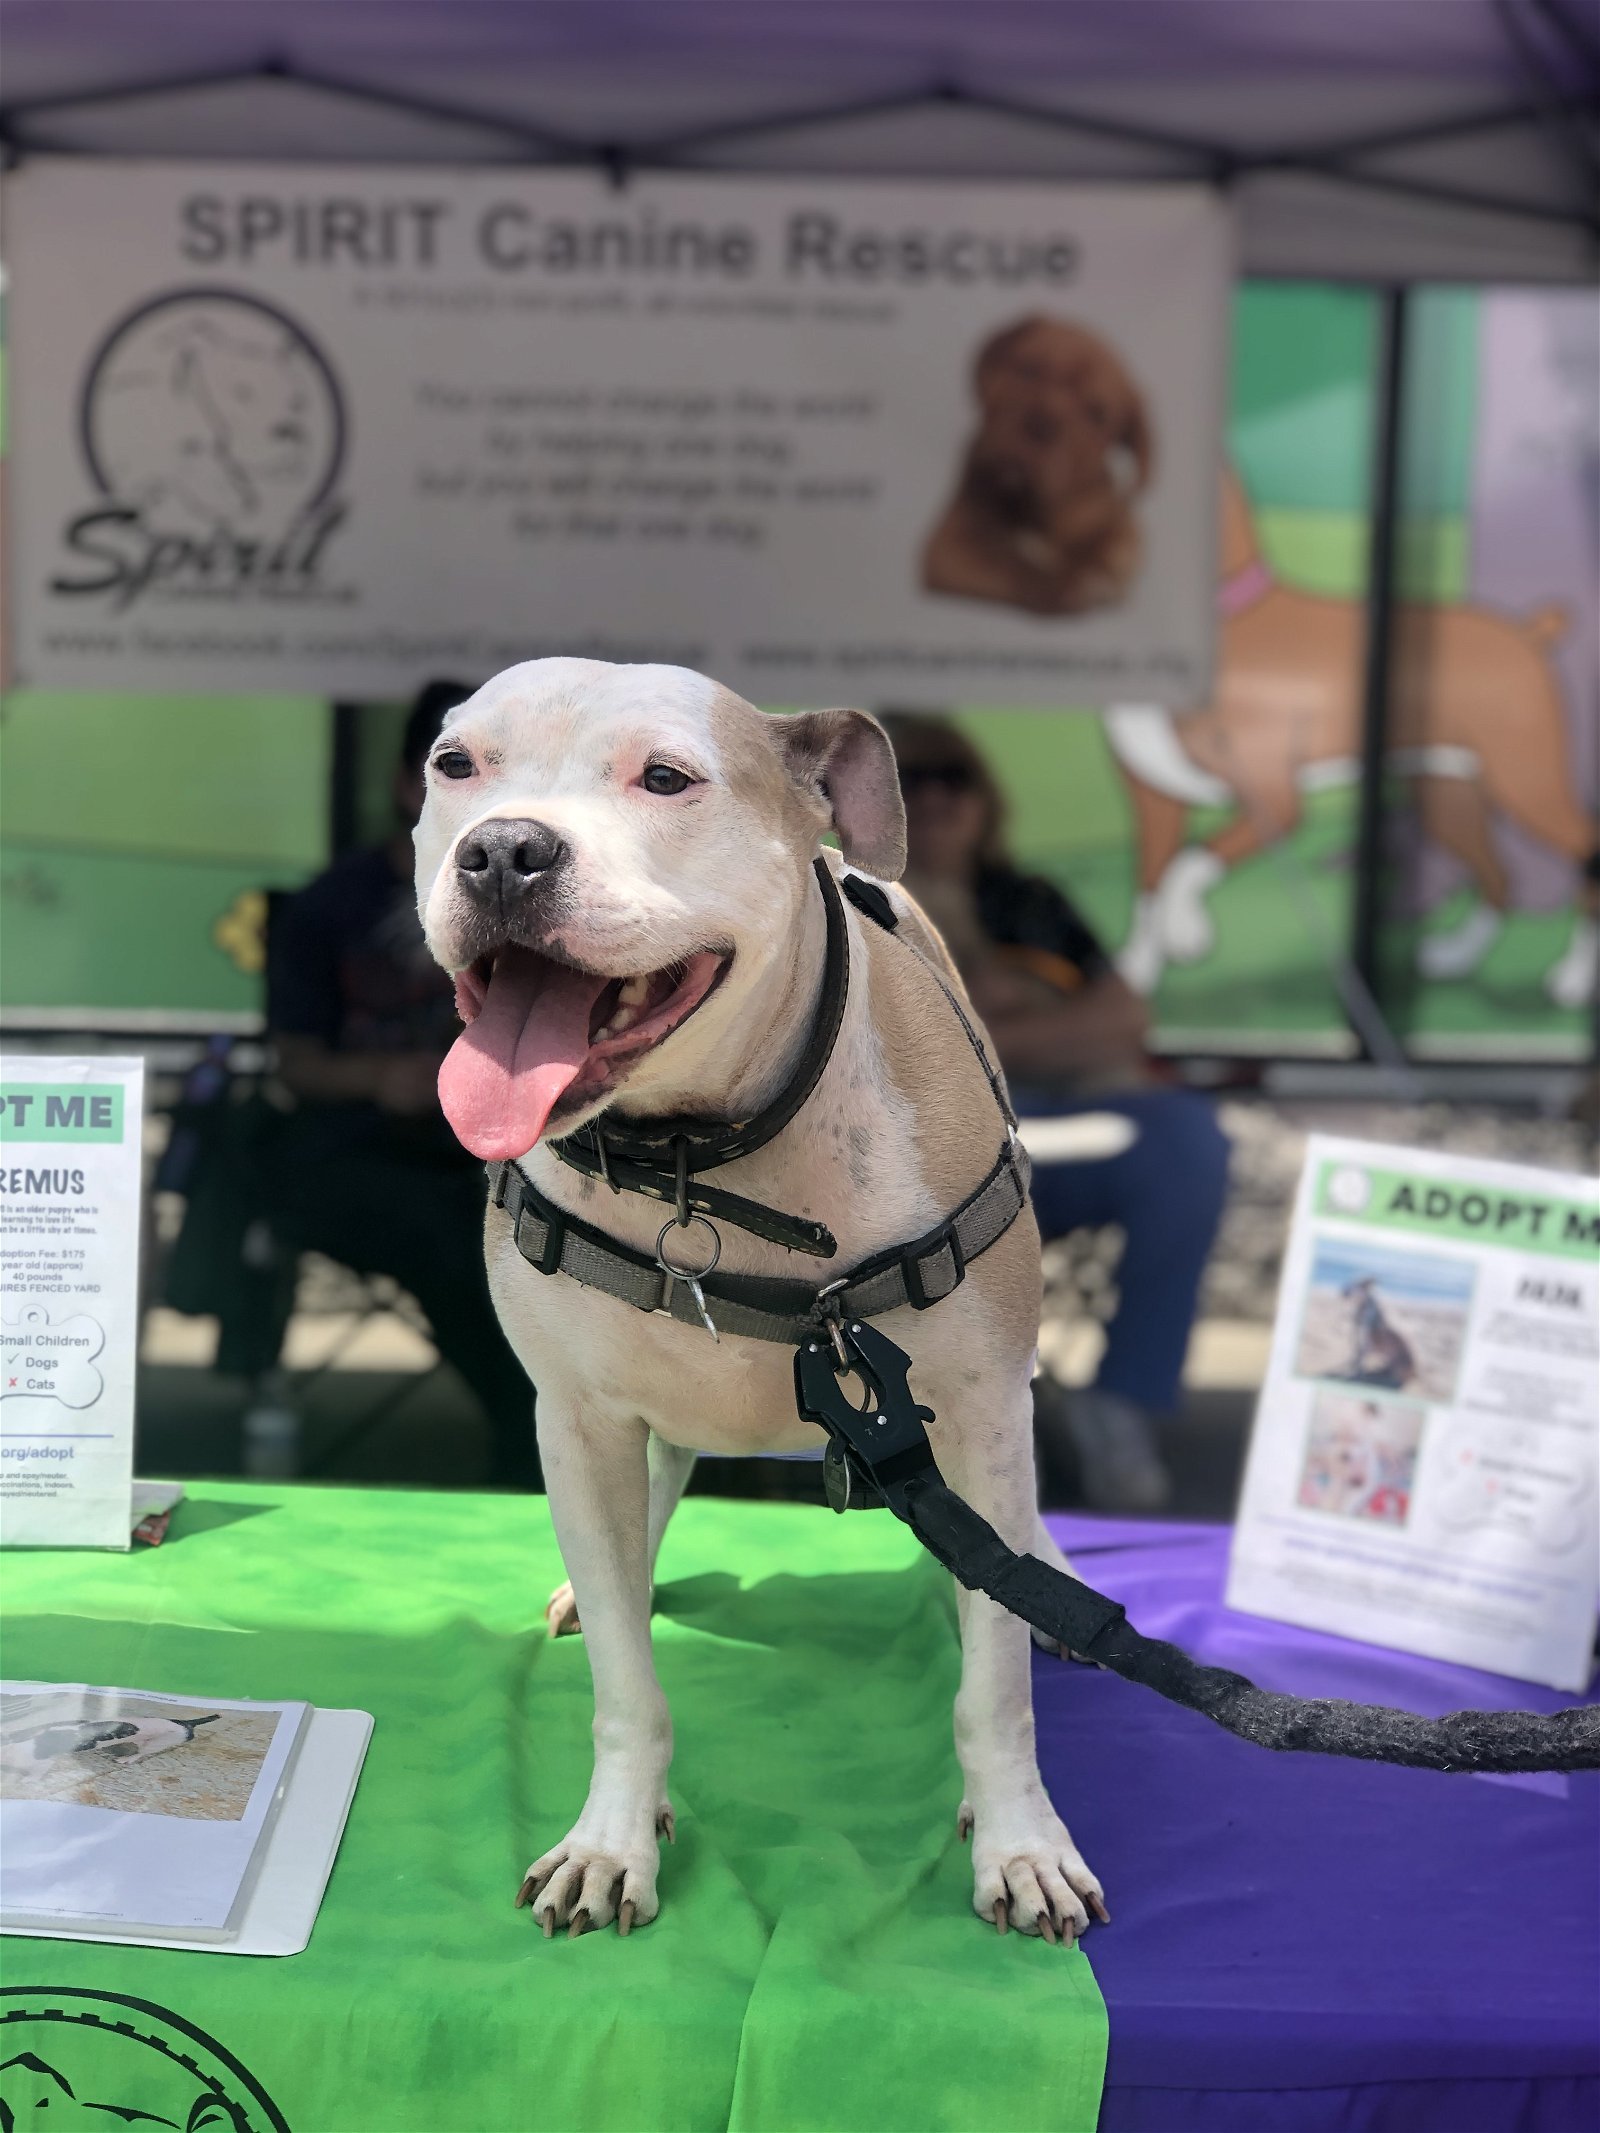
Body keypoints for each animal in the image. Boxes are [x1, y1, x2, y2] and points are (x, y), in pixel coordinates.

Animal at [416, 656, 1100, 1945]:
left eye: (666, 778)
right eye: (454, 765)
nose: (502, 851)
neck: (705, 1157)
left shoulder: (984, 1413)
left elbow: (994, 1688)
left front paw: (1022, 1844)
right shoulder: (576, 1418)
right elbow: (627, 1682)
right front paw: (612, 1839)